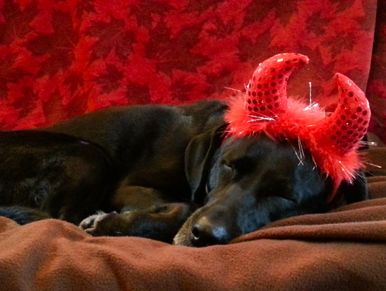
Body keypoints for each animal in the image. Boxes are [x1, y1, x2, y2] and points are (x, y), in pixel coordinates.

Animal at [0, 54, 370, 246]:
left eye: (285, 197)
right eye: (229, 165)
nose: (205, 234)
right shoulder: (129, 187)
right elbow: (182, 205)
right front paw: (112, 221)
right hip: (88, 156)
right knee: (62, 218)